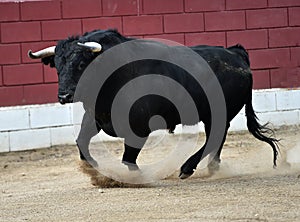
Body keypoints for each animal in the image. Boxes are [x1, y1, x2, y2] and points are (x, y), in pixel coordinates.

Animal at [28, 29, 278, 179]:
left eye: (81, 64)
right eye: (57, 66)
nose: (64, 96)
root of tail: (235, 53)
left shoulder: (138, 127)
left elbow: (128, 158)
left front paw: (135, 177)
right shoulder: (96, 117)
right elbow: (82, 143)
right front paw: (96, 170)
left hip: (217, 113)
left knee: (215, 136)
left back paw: (187, 168)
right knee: (218, 138)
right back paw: (211, 168)